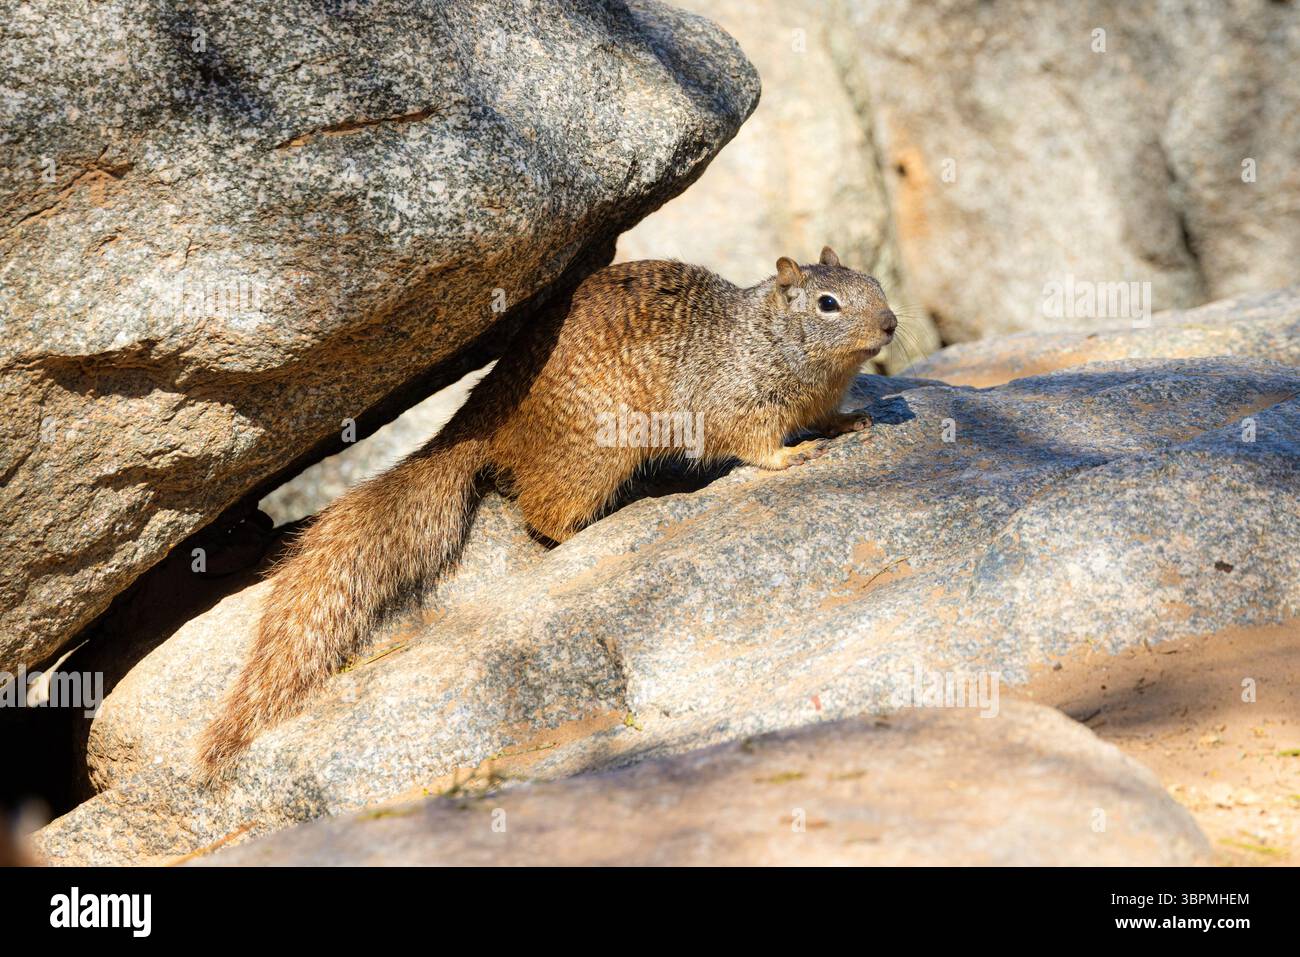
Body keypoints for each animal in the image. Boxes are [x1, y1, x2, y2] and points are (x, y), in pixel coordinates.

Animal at [197, 246, 897, 777]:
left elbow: (829, 416)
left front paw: (852, 421)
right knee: (540, 512)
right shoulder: (736, 401)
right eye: (828, 304)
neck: (775, 343)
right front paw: (792, 457)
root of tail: (485, 416)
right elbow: (753, 443)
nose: (891, 323)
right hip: (592, 456)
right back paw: (595, 520)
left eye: (875, 283)